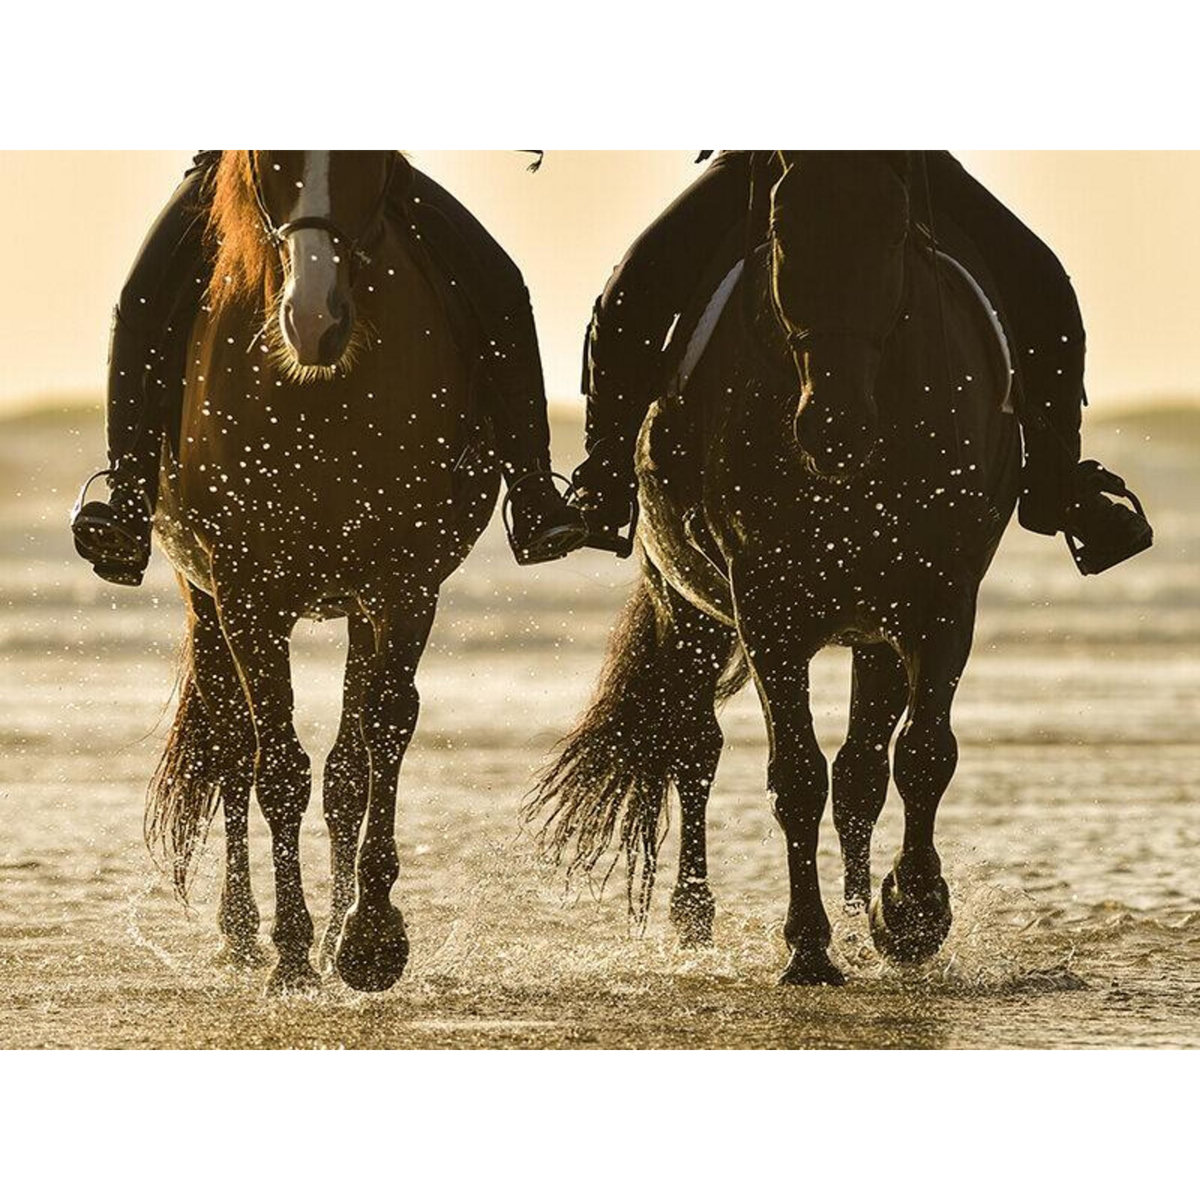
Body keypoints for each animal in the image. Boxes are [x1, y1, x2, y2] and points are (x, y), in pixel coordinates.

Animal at [147, 151, 498, 993]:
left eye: (369, 161)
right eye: (267, 161)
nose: (314, 320)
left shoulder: (403, 588)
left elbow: (378, 741)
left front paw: (368, 938)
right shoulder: (247, 593)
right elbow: (276, 767)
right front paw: (293, 954)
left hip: (355, 612)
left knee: (343, 769)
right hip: (204, 601)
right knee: (230, 752)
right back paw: (243, 935)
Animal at [527, 151, 1022, 984]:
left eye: (895, 228)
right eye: (785, 227)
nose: (834, 427)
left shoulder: (941, 600)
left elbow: (922, 755)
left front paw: (910, 913)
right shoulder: (767, 607)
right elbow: (795, 775)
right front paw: (808, 947)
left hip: (872, 635)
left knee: (861, 773)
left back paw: (859, 914)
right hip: (687, 608)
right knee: (694, 751)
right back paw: (695, 919)